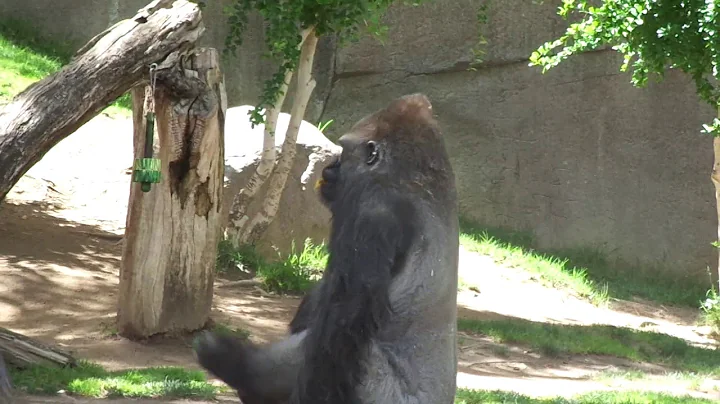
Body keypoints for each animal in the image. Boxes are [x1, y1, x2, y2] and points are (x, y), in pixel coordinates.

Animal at [194, 93, 460, 404]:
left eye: (343, 151)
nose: (330, 166)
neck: (414, 182)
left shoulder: (372, 211)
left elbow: (344, 321)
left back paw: (242, 368)